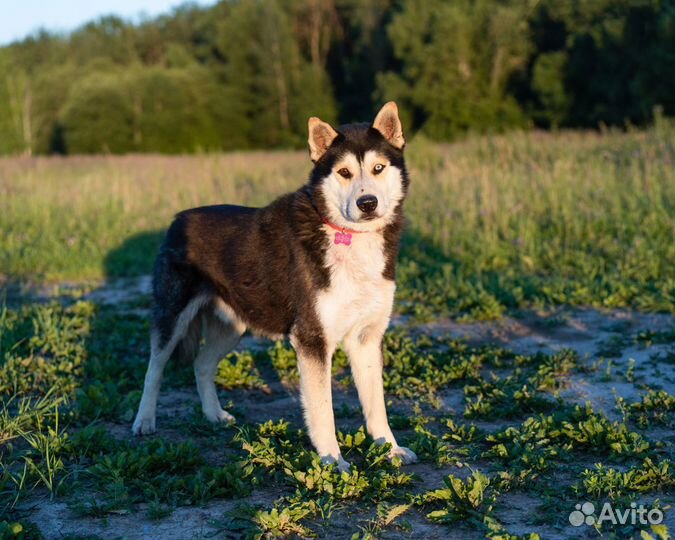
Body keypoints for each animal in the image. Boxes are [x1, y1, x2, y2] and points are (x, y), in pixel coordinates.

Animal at [132, 103, 418, 470]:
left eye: (378, 168)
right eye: (344, 172)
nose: (367, 203)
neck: (348, 237)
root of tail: (179, 218)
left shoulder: (366, 338)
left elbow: (376, 406)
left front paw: (389, 448)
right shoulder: (312, 340)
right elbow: (323, 412)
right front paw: (332, 461)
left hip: (233, 326)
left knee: (201, 365)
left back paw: (214, 415)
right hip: (173, 317)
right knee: (154, 369)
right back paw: (144, 421)